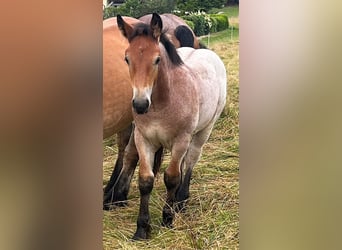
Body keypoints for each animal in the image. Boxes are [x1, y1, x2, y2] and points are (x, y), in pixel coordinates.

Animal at [117, 14, 227, 240]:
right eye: (127, 59)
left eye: (157, 59)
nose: (140, 105)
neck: (162, 104)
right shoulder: (144, 139)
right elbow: (145, 181)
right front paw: (142, 229)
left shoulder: (180, 140)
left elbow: (172, 177)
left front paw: (167, 218)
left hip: (202, 132)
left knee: (190, 161)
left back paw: (182, 200)